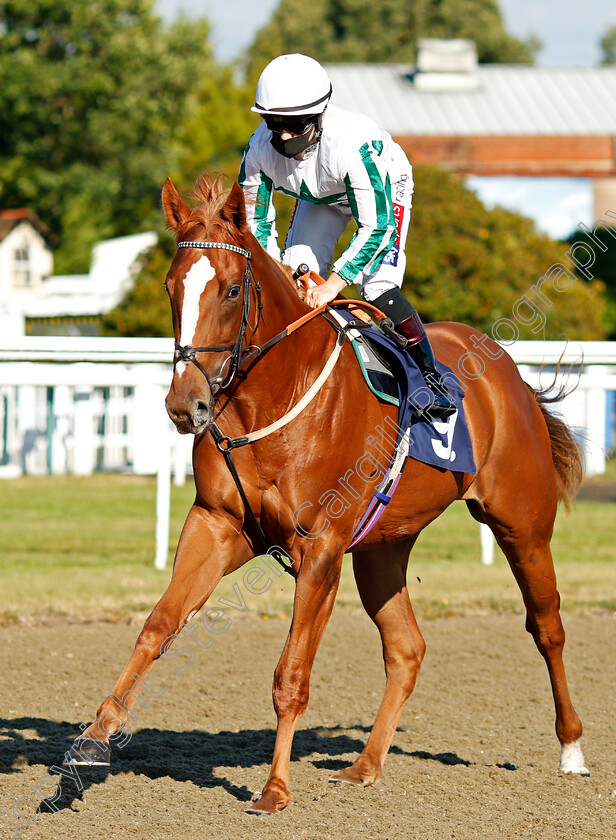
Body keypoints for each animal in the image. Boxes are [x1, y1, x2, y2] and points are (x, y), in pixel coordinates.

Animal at [67, 176, 588, 812]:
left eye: (232, 289)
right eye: (172, 287)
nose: (184, 404)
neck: (272, 400)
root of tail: (507, 370)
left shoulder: (319, 548)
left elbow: (291, 674)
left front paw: (274, 789)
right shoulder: (218, 524)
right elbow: (158, 625)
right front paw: (95, 736)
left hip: (522, 525)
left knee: (547, 627)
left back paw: (572, 750)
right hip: (382, 548)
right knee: (407, 648)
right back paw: (365, 764)